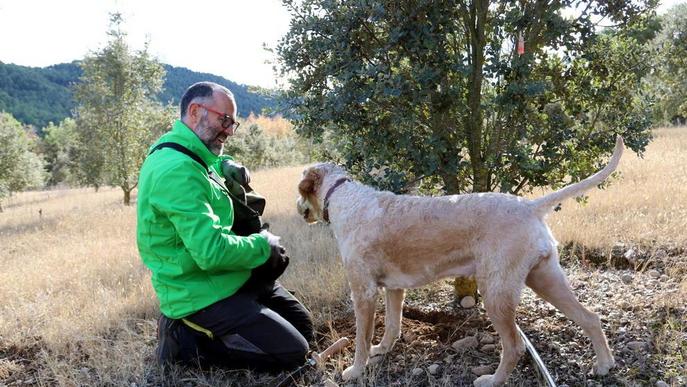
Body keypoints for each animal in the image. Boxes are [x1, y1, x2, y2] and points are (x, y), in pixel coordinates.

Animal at [296, 138, 624, 386]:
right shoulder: (393, 289)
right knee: (590, 318)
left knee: (515, 346)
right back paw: (604, 365)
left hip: (497, 293)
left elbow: (361, 339)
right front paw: (382, 351)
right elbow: (391, 325)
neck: (343, 198)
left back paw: (492, 381)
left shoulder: (363, 292)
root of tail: (529, 206)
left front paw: (356, 370)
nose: (298, 207)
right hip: (545, 279)